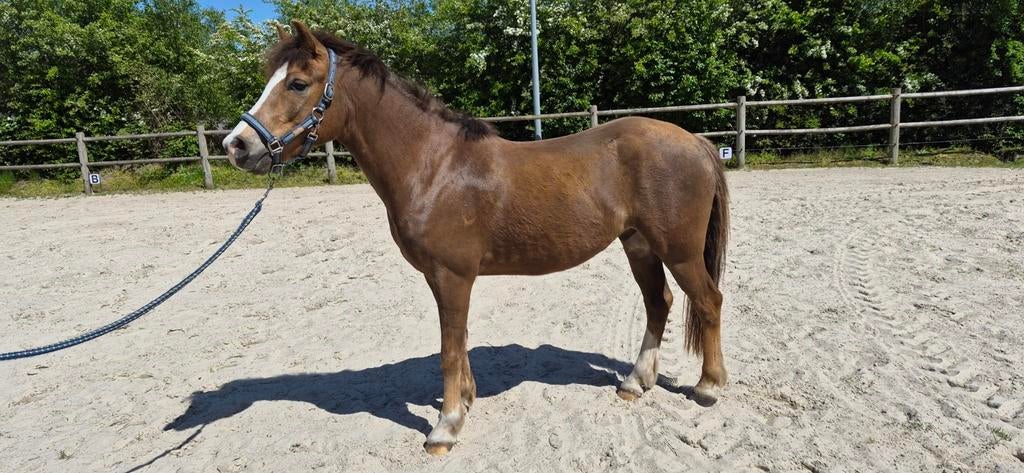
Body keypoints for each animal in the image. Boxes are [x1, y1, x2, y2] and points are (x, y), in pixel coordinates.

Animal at [222, 20, 730, 456]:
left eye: (297, 83)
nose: (236, 145)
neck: (433, 165)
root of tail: (696, 141)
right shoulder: (443, 278)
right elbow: (460, 341)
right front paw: (465, 401)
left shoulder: (452, 275)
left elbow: (449, 350)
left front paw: (444, 428)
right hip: (638, 245)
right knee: (659, 302)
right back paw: (634, 382)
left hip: (679, 251)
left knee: (707, 301)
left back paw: (708, 387)